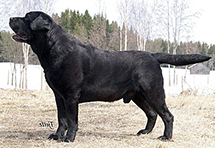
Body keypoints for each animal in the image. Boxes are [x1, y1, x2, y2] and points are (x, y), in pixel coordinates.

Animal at [9, 11, 210, 142]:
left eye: (26, 18)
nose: (11, 18)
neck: (53, 50)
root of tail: (152, 55)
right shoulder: (59, 96)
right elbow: (62, 118)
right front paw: (57, 136)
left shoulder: (71, 95)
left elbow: (72, 120)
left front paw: (69, 138)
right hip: (139, 95)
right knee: (152, 114)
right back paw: (145, 132)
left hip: (153, 92)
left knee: (167, 115)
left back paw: (166, 137)